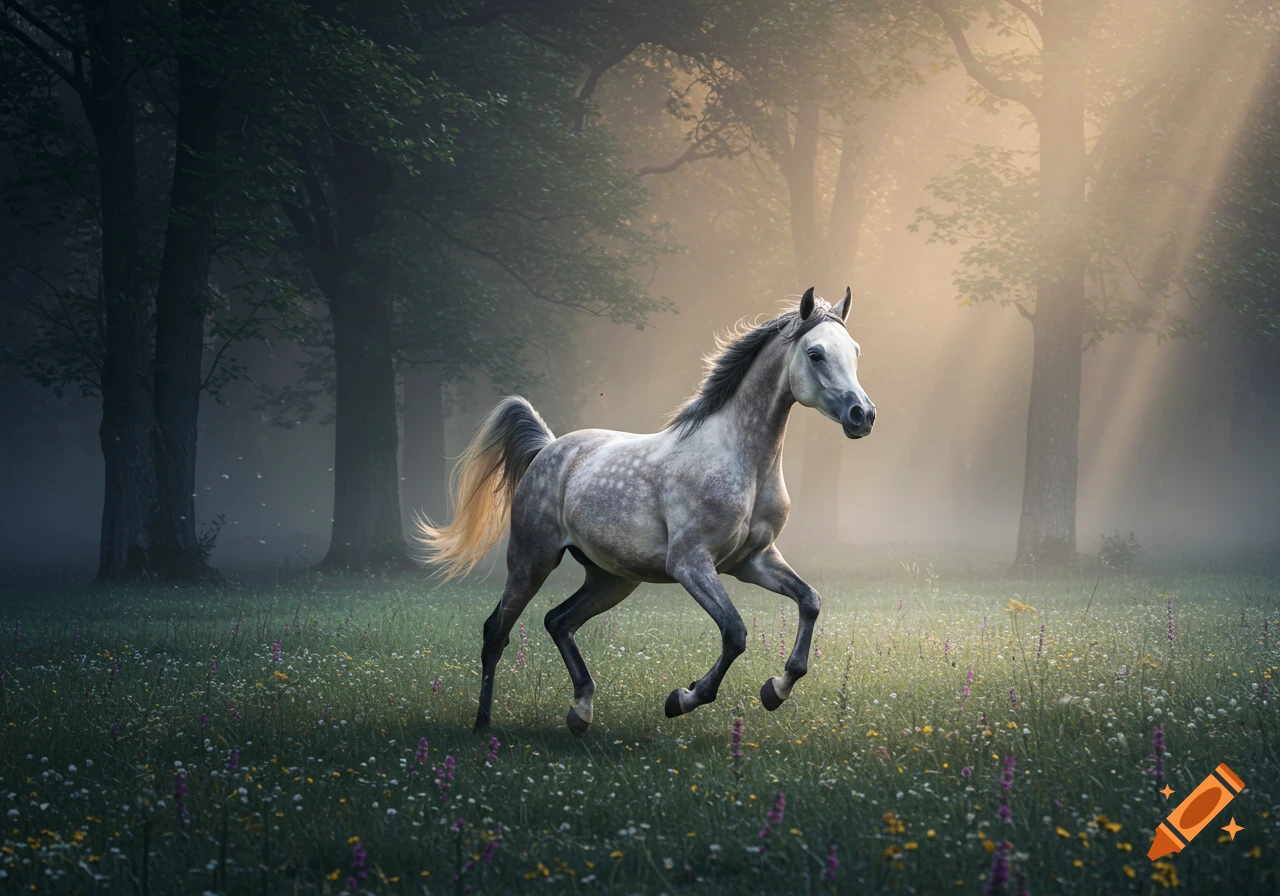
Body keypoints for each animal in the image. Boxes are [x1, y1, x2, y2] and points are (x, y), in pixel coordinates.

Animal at [416, 287, 876, 734]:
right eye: (815, 354)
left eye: (855, 351)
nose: (863, 415)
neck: (740, 461)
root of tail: (547, 448)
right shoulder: (690, 563)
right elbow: (735, 633)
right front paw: (683, 699)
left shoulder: (753, 561)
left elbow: (809, 601)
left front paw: (776, 689)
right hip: (532, 560)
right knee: (497, 632)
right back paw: (483, 726)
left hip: (612, 579)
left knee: (557, 621)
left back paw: (581, 712)